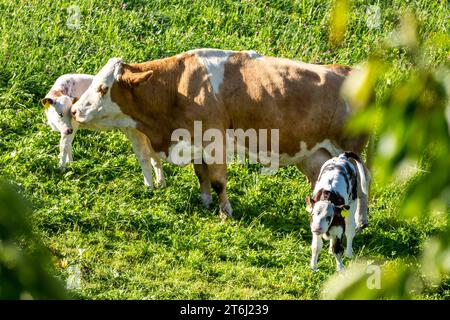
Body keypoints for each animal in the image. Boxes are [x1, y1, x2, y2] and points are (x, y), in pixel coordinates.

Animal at [72, 48, 370, 228]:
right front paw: (204, 203)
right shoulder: (196, 142)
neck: (178, 87)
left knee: (363, 183)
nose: (75, 110)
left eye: (102, 88)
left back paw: (360, 221)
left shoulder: (214, 141)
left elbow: (218, 181)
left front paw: (224, 211)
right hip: (314, 153)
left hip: (350, 150)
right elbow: (201, 174)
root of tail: (348, 70)